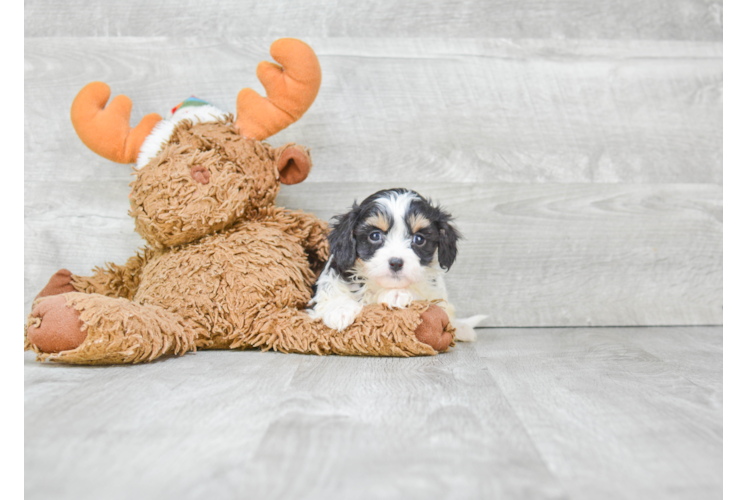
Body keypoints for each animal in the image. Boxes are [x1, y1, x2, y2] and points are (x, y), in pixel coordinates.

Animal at [308, 188, 486, 344]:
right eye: (375, 236)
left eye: (419, 239)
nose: (396, 262)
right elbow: (331, 290)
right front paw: (339, 310)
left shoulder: (433, 292)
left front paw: (396, 294)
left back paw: (461, 328)